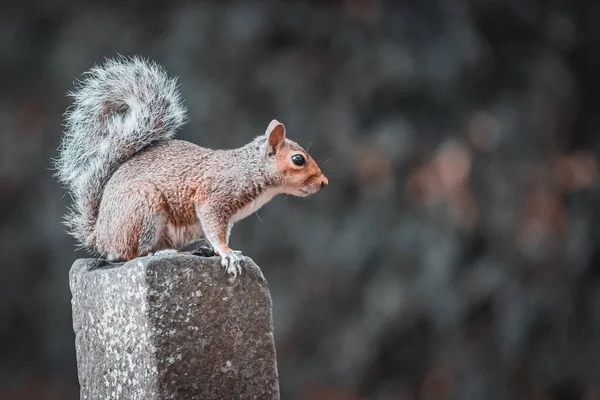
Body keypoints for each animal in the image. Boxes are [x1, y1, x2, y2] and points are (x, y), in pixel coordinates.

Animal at [54, 55, 328, 276]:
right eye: (298, 159)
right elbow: (216, 230)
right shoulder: (214, 198)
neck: (249, 170)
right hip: (142, 207)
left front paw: (221, 251)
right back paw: (158, 254)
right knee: (130, 255)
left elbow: (221, 232)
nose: (324, 183)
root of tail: (100, 234)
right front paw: (227, 253)